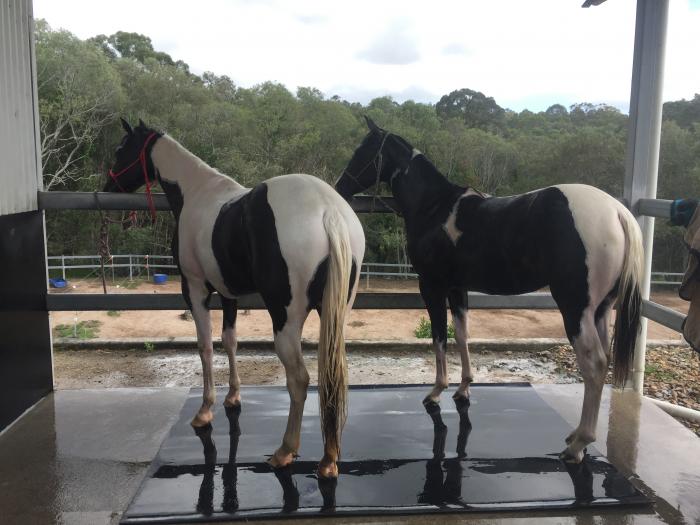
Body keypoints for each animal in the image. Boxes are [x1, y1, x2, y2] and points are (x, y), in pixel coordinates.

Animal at [104, 119, 365, 478]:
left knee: (299, 379)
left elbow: (205, 346)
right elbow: (230, 341)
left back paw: (285, 450)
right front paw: (233, 397)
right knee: (333, 374)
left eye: (121, 149)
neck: (197, 191)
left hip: (285, 319)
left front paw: (205, 410)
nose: (108, 183)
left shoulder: (195, 288)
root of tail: (329, 211)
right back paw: (328, 459)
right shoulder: (228, 293)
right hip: (334, 315)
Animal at [336, 117, 643, 463]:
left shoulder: (432, 286)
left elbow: (439, 338)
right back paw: (577, 435)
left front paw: (436, 392)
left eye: (363, 151)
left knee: (594, 364)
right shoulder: (458, 288)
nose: (340, 187)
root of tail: (617, 213)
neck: (434, 206)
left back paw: (578, 445)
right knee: (601, 364)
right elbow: (462, 334)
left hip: (575, 309)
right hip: (601, 310)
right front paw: (463, 389)